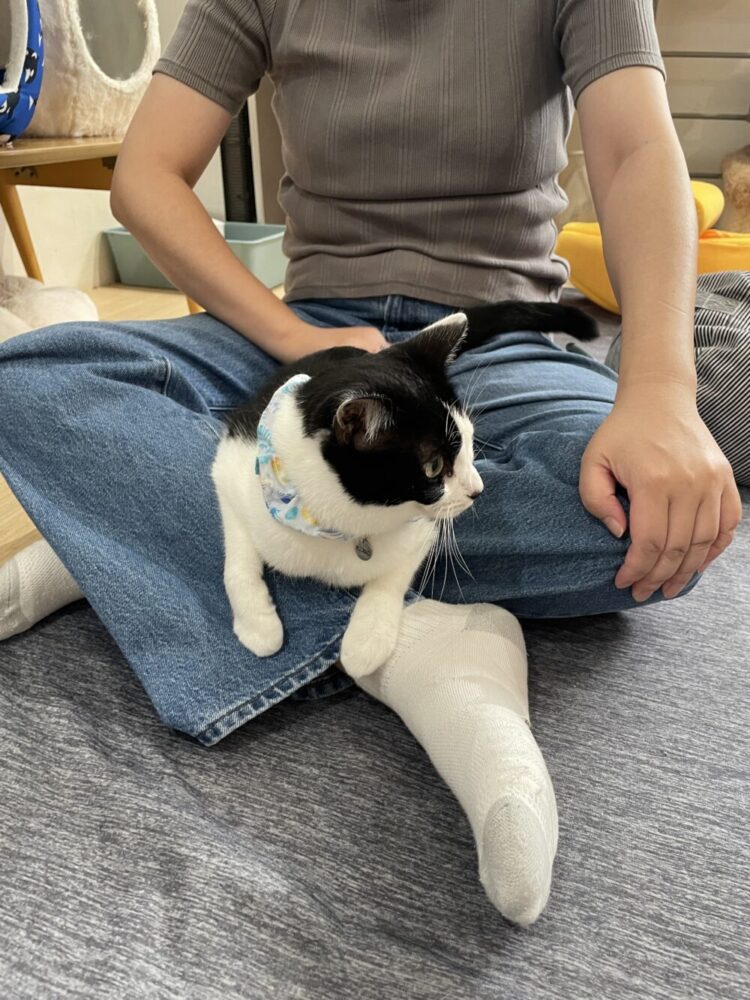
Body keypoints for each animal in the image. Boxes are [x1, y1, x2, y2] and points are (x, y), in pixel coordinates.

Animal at [211, 301, 596, 678]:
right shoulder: (232, 466)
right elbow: (238, 556)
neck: (337, 521)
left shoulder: (420, 531)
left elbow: (393, 574)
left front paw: (365, 642)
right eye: (433, 467)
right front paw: (259, 626)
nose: (477, 490)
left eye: (471, 440)